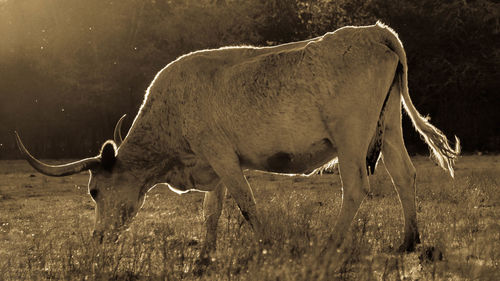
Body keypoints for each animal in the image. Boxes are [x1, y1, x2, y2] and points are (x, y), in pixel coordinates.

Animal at [13, 21, 458, 258]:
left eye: (93, 191)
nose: (98, 239)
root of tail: (374, 31)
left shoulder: (221, 155)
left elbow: (246, 204)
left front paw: (269, 247)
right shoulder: (213, 163)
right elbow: (212, 210)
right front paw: (205, 255)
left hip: (350, 136)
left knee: (356, 187)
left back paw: (329, 245)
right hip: (389, 126)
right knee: (403, 175)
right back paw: (409, 242)